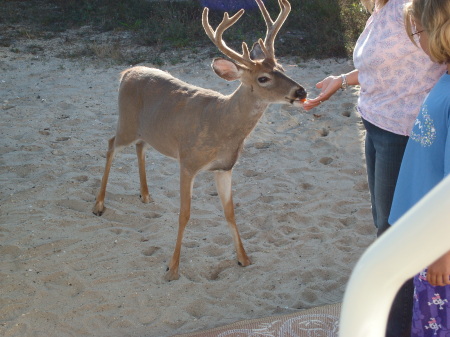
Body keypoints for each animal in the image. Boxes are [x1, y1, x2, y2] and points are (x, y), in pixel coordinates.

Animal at [93, 0, 308, 280]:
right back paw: (98, 205)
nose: (301, 91)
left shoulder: (225, 168)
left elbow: (230, 212)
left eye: (282, 68)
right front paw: (172, 268)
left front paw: (243, 258)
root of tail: (127, 71)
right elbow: (185, 214)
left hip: (147, 130)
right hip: (127, 122)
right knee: (111, 144)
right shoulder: (188, 162)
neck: (222, 124)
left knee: (140, 146)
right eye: (263, 78)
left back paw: (145, 195)